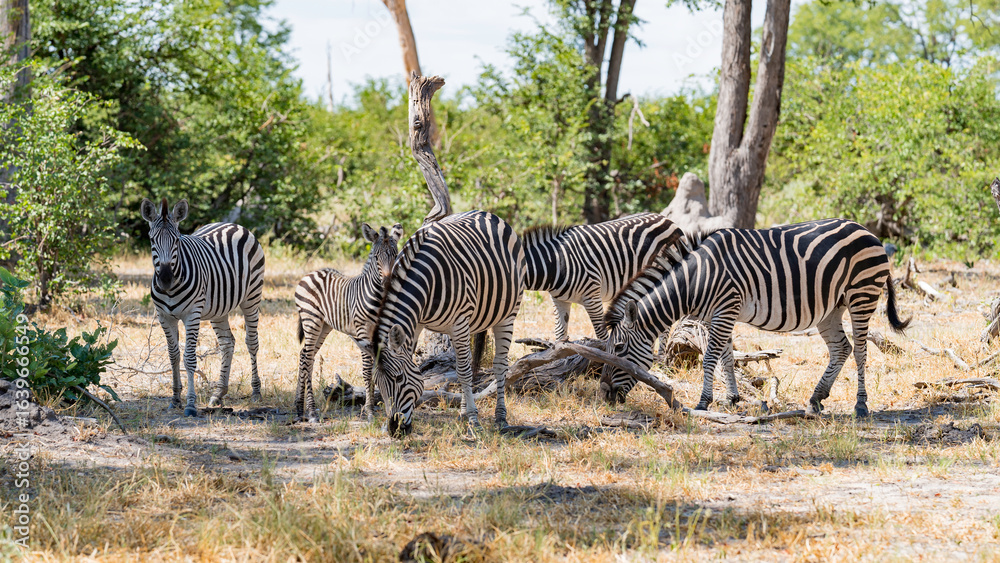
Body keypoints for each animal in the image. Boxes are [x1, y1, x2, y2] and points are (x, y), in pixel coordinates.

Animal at [140, 198, 266, 417]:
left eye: (177, 241)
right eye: (152, 240)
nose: (165, 279)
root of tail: (232, 224)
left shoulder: (192, 314)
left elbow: (189, 358)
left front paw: (190, 404)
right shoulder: (164, 316)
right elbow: (173, 355)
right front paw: (175, 398)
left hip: (252, 297)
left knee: (251, 342)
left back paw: (256, 391)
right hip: (219, 308)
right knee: (227, 343)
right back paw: (218, 393)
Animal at [293, 223, 403, 422]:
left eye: (395, 254)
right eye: (376, 257)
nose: (387, 283)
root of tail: (311, 273)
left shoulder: (379, 333)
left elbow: (379, 368)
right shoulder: (362, 332)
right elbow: (367, 370)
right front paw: (369, 412)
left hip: (324, 325)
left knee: (306, 355)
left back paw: (299, 408)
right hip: (311, 319)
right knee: (307, 357)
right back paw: (311, 412)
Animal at [358, 210, 525, 437]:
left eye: (399, 378)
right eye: (378, 383)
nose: (395, 430)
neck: (425, 283)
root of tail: (487, 213)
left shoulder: (459, 321)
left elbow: (464, 372)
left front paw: (474, 421)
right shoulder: (417, 323)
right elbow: (457, 369)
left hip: (507, 313)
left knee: (498, 365)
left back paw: (500, 417)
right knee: (466, 363)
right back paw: (462, 413)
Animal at [522, 213, 684, 341]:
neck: (558, 262)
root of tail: (668, 220)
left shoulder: (592, 297)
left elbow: (602, 336)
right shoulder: (559, 300)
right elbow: (560, 333)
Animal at [600, 219, 910, 417]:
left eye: (619, 349)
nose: (604, 394)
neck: (697, 278)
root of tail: (867, 231)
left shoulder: (726, 307)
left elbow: (710, 356)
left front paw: (703, 402)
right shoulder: (719, 314)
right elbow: (726, 356)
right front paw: (731, 398)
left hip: (862, 294)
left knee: (859, 351)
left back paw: (860, 405)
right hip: (832, 308)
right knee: (841, 349)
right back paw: (815, 399)